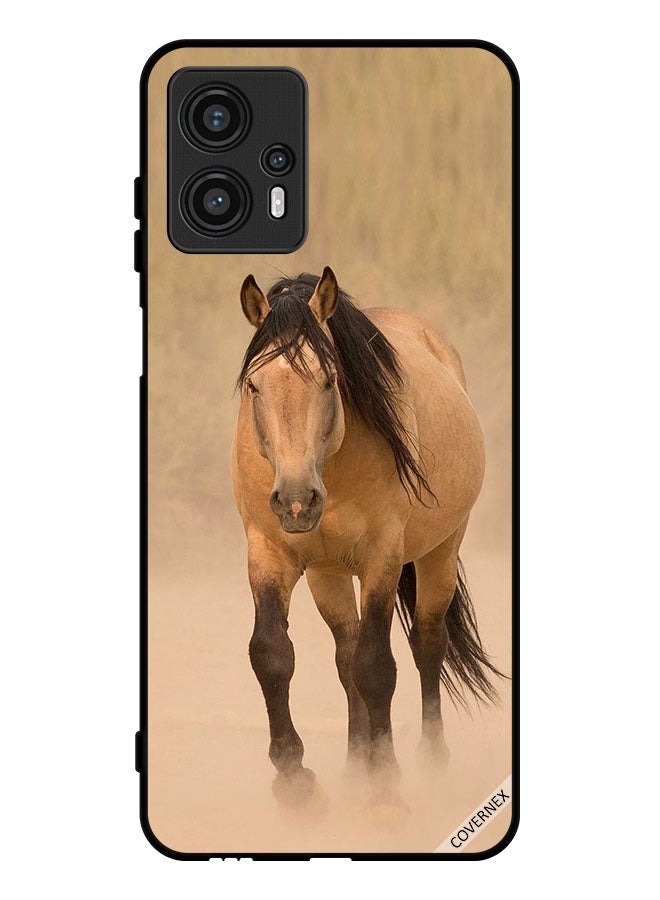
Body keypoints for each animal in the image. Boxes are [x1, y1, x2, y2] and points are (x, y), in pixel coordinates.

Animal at [231, 267, 501, 817]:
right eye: (254, 384)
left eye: (330, 379)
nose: (296, 501)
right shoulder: (269, 552)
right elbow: (272, 654)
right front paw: (295, 780)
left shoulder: (382, 560)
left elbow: (378, 667)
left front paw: (386, 788)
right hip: (327, 574)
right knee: (345, 655)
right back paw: (356, 766)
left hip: (440, 552)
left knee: (425, 645)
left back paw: (429, 762)